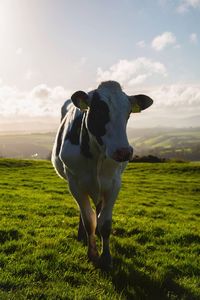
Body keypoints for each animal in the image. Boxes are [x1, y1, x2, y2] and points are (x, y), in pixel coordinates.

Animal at [51, 80, 153, 270]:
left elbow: (105, 223)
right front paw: (92, 254)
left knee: (98, 209)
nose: (124, 152)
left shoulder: (114, 184)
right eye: (98, 111)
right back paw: (82, 235)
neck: (97, 154)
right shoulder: (74, 183)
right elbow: (88, 220)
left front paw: (106, 257)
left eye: (128, 113)